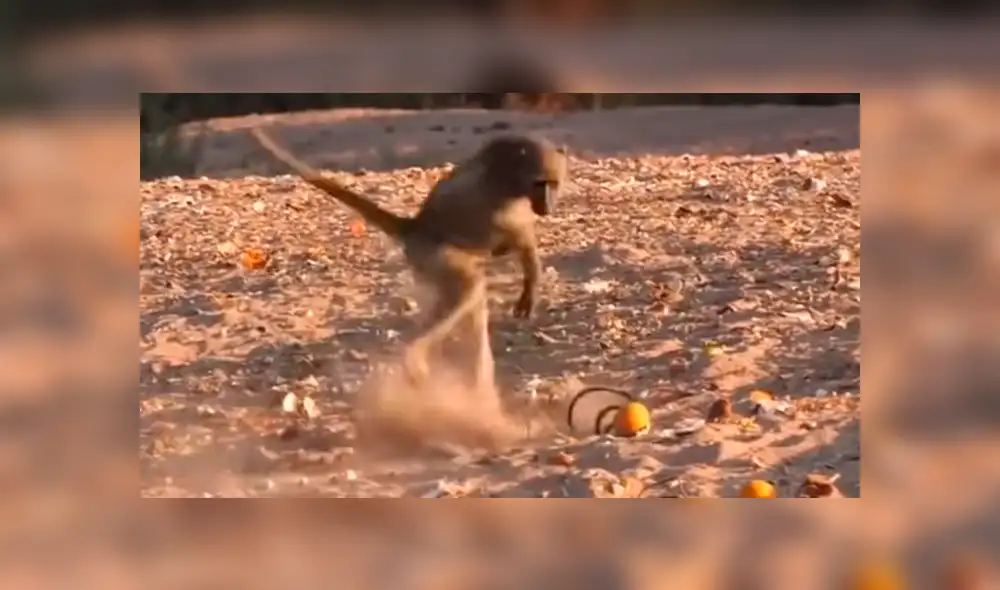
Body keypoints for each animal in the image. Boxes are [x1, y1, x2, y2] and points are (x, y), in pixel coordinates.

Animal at [248, 127, 567, 387]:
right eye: (540, 184)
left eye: (554, 184)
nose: (548, 206)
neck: (508, 167)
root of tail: (416, 227)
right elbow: (517, 234)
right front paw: (528, 283)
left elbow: (520, 240)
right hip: (430, 255)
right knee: (467, 286)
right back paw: (415, 356)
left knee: (472, 296)